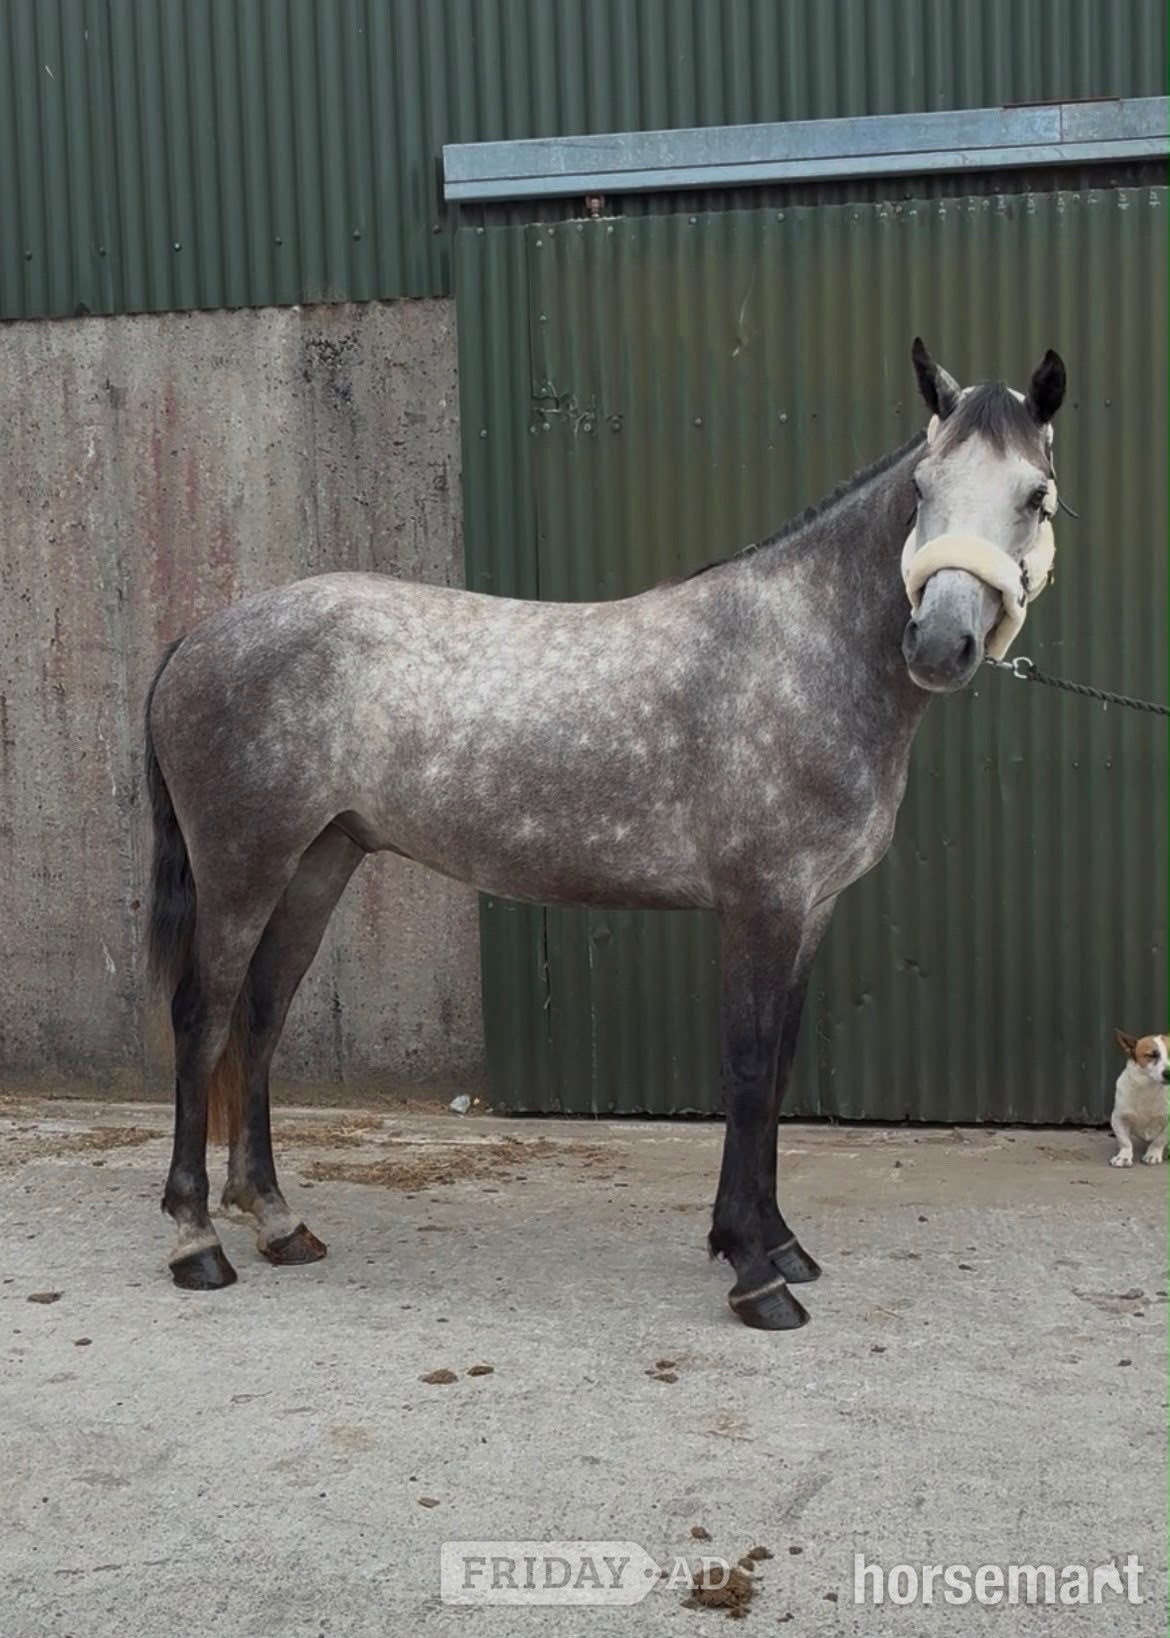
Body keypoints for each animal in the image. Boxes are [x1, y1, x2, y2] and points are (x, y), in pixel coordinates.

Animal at [144, 339, 1066, 1329]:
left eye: (1036, 495)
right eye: (923, 487)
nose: (937, 645)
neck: (798, 651)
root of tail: (200, 634)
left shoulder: (809, 910)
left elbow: (778, 1071)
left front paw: (779, 1242)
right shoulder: (762, 905)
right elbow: (748, 1072)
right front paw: (754, 1271)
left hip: (319, 861)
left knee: (262, 1018)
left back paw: (279, 1222)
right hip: (243, 868)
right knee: (202, 1020)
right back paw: (196, 1242)